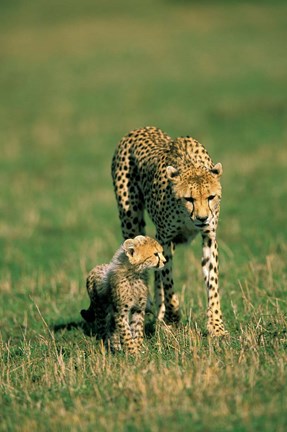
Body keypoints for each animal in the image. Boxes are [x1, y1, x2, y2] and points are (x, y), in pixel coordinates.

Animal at [112, 126, 227, 336]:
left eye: (211, 197)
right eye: (189, 198)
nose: (202, 218)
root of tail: (140, 128)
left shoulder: (208, 237)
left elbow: (212, 283)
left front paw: (216, 327)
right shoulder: (164, 239)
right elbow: (167, 281)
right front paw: (173, 316)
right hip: (130, 220)